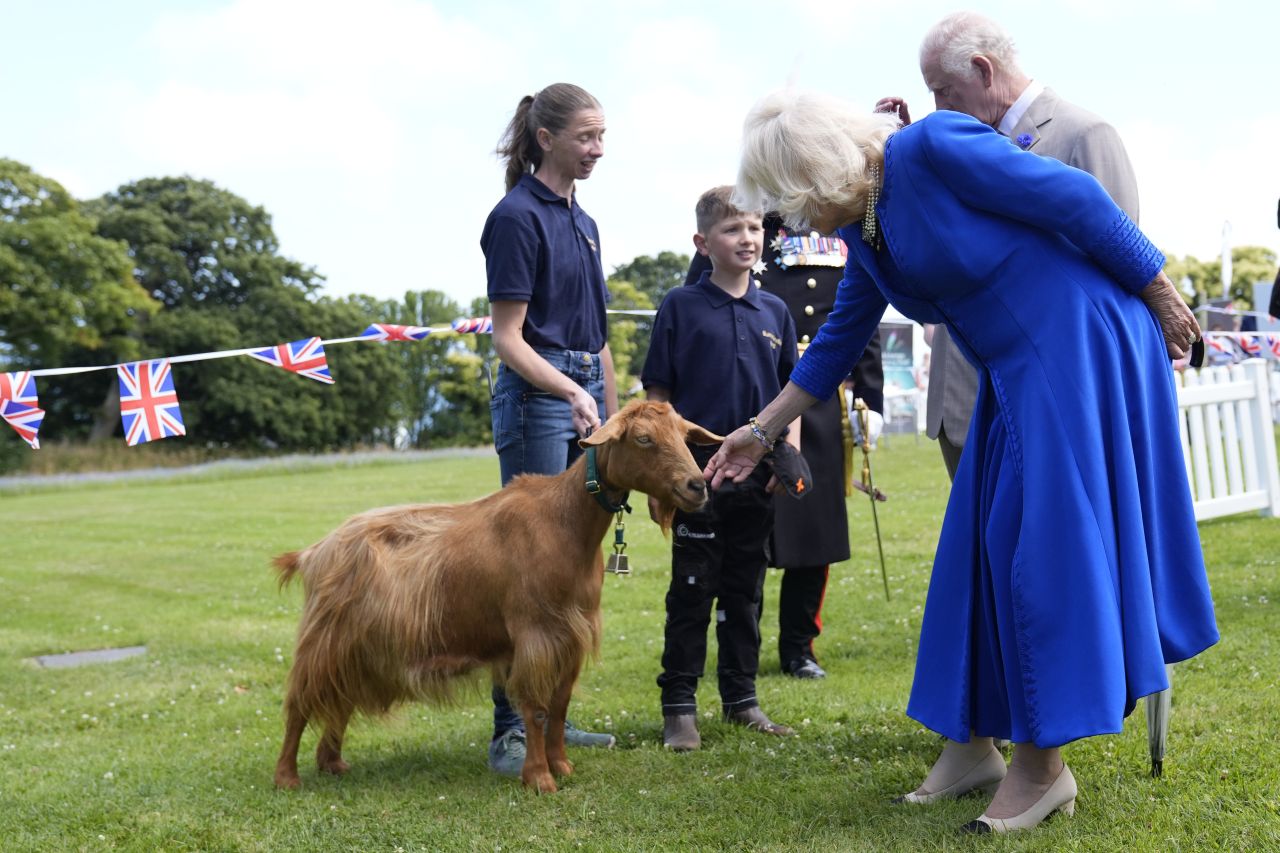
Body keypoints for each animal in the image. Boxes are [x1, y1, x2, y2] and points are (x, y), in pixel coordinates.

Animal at [271, 399, 721, 788]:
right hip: (324, 639)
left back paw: (332, 763)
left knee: (339, 698)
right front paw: (539, 778)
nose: (697, 486)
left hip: (357, 646)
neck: (564, 522)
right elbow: (536, 710)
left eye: (685, 434)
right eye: (643, 438)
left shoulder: (572, 636)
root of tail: (313, 552)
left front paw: (562, 766)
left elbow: (559, 707)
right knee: (299, 703)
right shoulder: (535, 634)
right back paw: (287, 777)